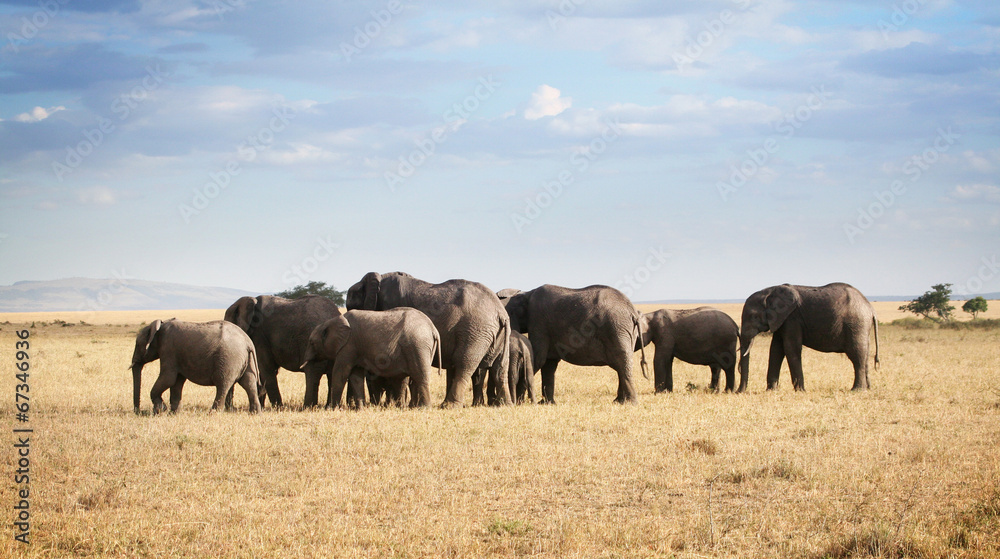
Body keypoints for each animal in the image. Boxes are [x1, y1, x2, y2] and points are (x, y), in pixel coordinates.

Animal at [130, 320, 262, 416]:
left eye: (138, 344)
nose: (138, 412)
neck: (159, 327)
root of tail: (248, 342)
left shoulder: (168, 350)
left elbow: (168, 378)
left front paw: (161, 410)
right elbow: (177, 382)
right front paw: (173, 414)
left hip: (229, 358)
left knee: (223, 384)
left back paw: (213, 413)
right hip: (246, 359)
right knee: (249, 383)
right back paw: (255, 413)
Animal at [300, 308, 442, 410]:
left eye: (312, 342)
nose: (307, 407)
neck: (331, 322)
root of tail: (433, 329)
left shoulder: (348, 345)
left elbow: (340, 373)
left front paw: (331, 409)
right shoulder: (355, 348)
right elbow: (356, 376)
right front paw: (361, 409)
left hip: (417, 345)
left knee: (420, 375)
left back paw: (424, 408)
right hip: (422, 348)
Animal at [348, 274, 512, 410]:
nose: (351, 405)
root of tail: (501, 312)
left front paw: (398, 405)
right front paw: (410, 405)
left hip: (476, 330)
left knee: (463, 362)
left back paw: (449, 406)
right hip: (496, 333)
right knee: (500, 367)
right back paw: (504, 405)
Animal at [498, 286, 648, 404]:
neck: (526, 294)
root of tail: (633, 312)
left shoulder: (538, 320)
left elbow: (539, 358)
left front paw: (519, 402)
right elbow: (549, 363)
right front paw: (547, 403)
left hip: (616, 328)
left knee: (621, 362)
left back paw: (628, 403)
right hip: (626, 331)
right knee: (621, 364)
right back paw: (619, 401)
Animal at [740, 282, 880, 392]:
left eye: (754, 317)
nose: (738, 392)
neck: (769, 292)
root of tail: (871, 308)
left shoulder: (792, 318)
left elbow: (790, 348)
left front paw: (800, 391)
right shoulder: (782, 320)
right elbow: (776, 349)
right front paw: (771, 391)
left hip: (856, 323)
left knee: (856, 355)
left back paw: (857, 390)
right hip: (861, 326)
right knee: (865, 354)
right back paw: (868, 388)